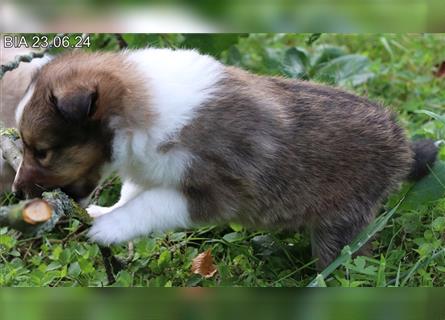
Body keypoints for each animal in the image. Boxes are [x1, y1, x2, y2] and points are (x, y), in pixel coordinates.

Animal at [12, 48, 436, 268]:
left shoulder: (219, 188)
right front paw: (106, 211)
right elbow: (134, 191)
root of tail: (401, 143)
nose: (15, 194)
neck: (141, 114)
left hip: (344, 221)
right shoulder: (148, 167)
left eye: (42, 151)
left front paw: (109, 228)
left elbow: (152, 204)